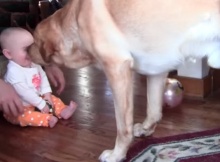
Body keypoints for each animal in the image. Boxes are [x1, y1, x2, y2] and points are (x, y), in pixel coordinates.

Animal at [29, 0, 220, 161]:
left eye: (34, 40)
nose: (26, 50)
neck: (75, 19)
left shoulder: (117, 69)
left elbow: (123, 127)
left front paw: (117, 154)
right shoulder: (157, 70)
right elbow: (153, 110)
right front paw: (146, 129)